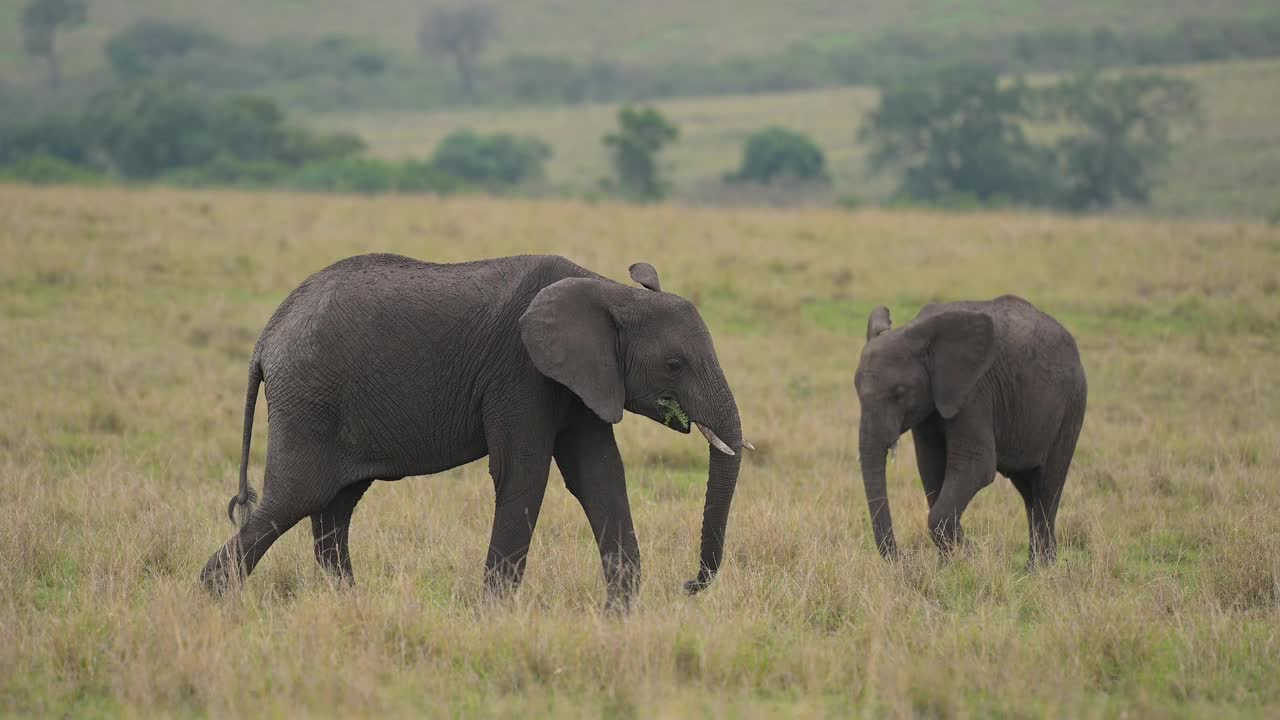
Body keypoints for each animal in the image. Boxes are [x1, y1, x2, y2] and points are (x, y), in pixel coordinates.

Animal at [197, 252, 747, 604]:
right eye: (674, 365)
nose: (688, 586)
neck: (611, 291)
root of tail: (266, 339)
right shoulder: (520, 371)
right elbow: (523, 474)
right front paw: (495, 614)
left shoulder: (582, 380)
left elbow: (599, 475)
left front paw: (622, 613)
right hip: (310, 401)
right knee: (296, 497)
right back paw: (214, 598)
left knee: (334, 507)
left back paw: (350, 604)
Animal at [855, 294, 1085, 563]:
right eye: (856, 391)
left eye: (899, 394)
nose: (907, 559)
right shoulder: (930, 403)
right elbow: (931, 468)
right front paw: (949, 565)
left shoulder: (975, 390)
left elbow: (976, 466)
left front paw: (970, 557)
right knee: (1029, 491)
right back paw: (1034, 568)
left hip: (1072, 406)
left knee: (1047, 488)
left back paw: (1041, 569)